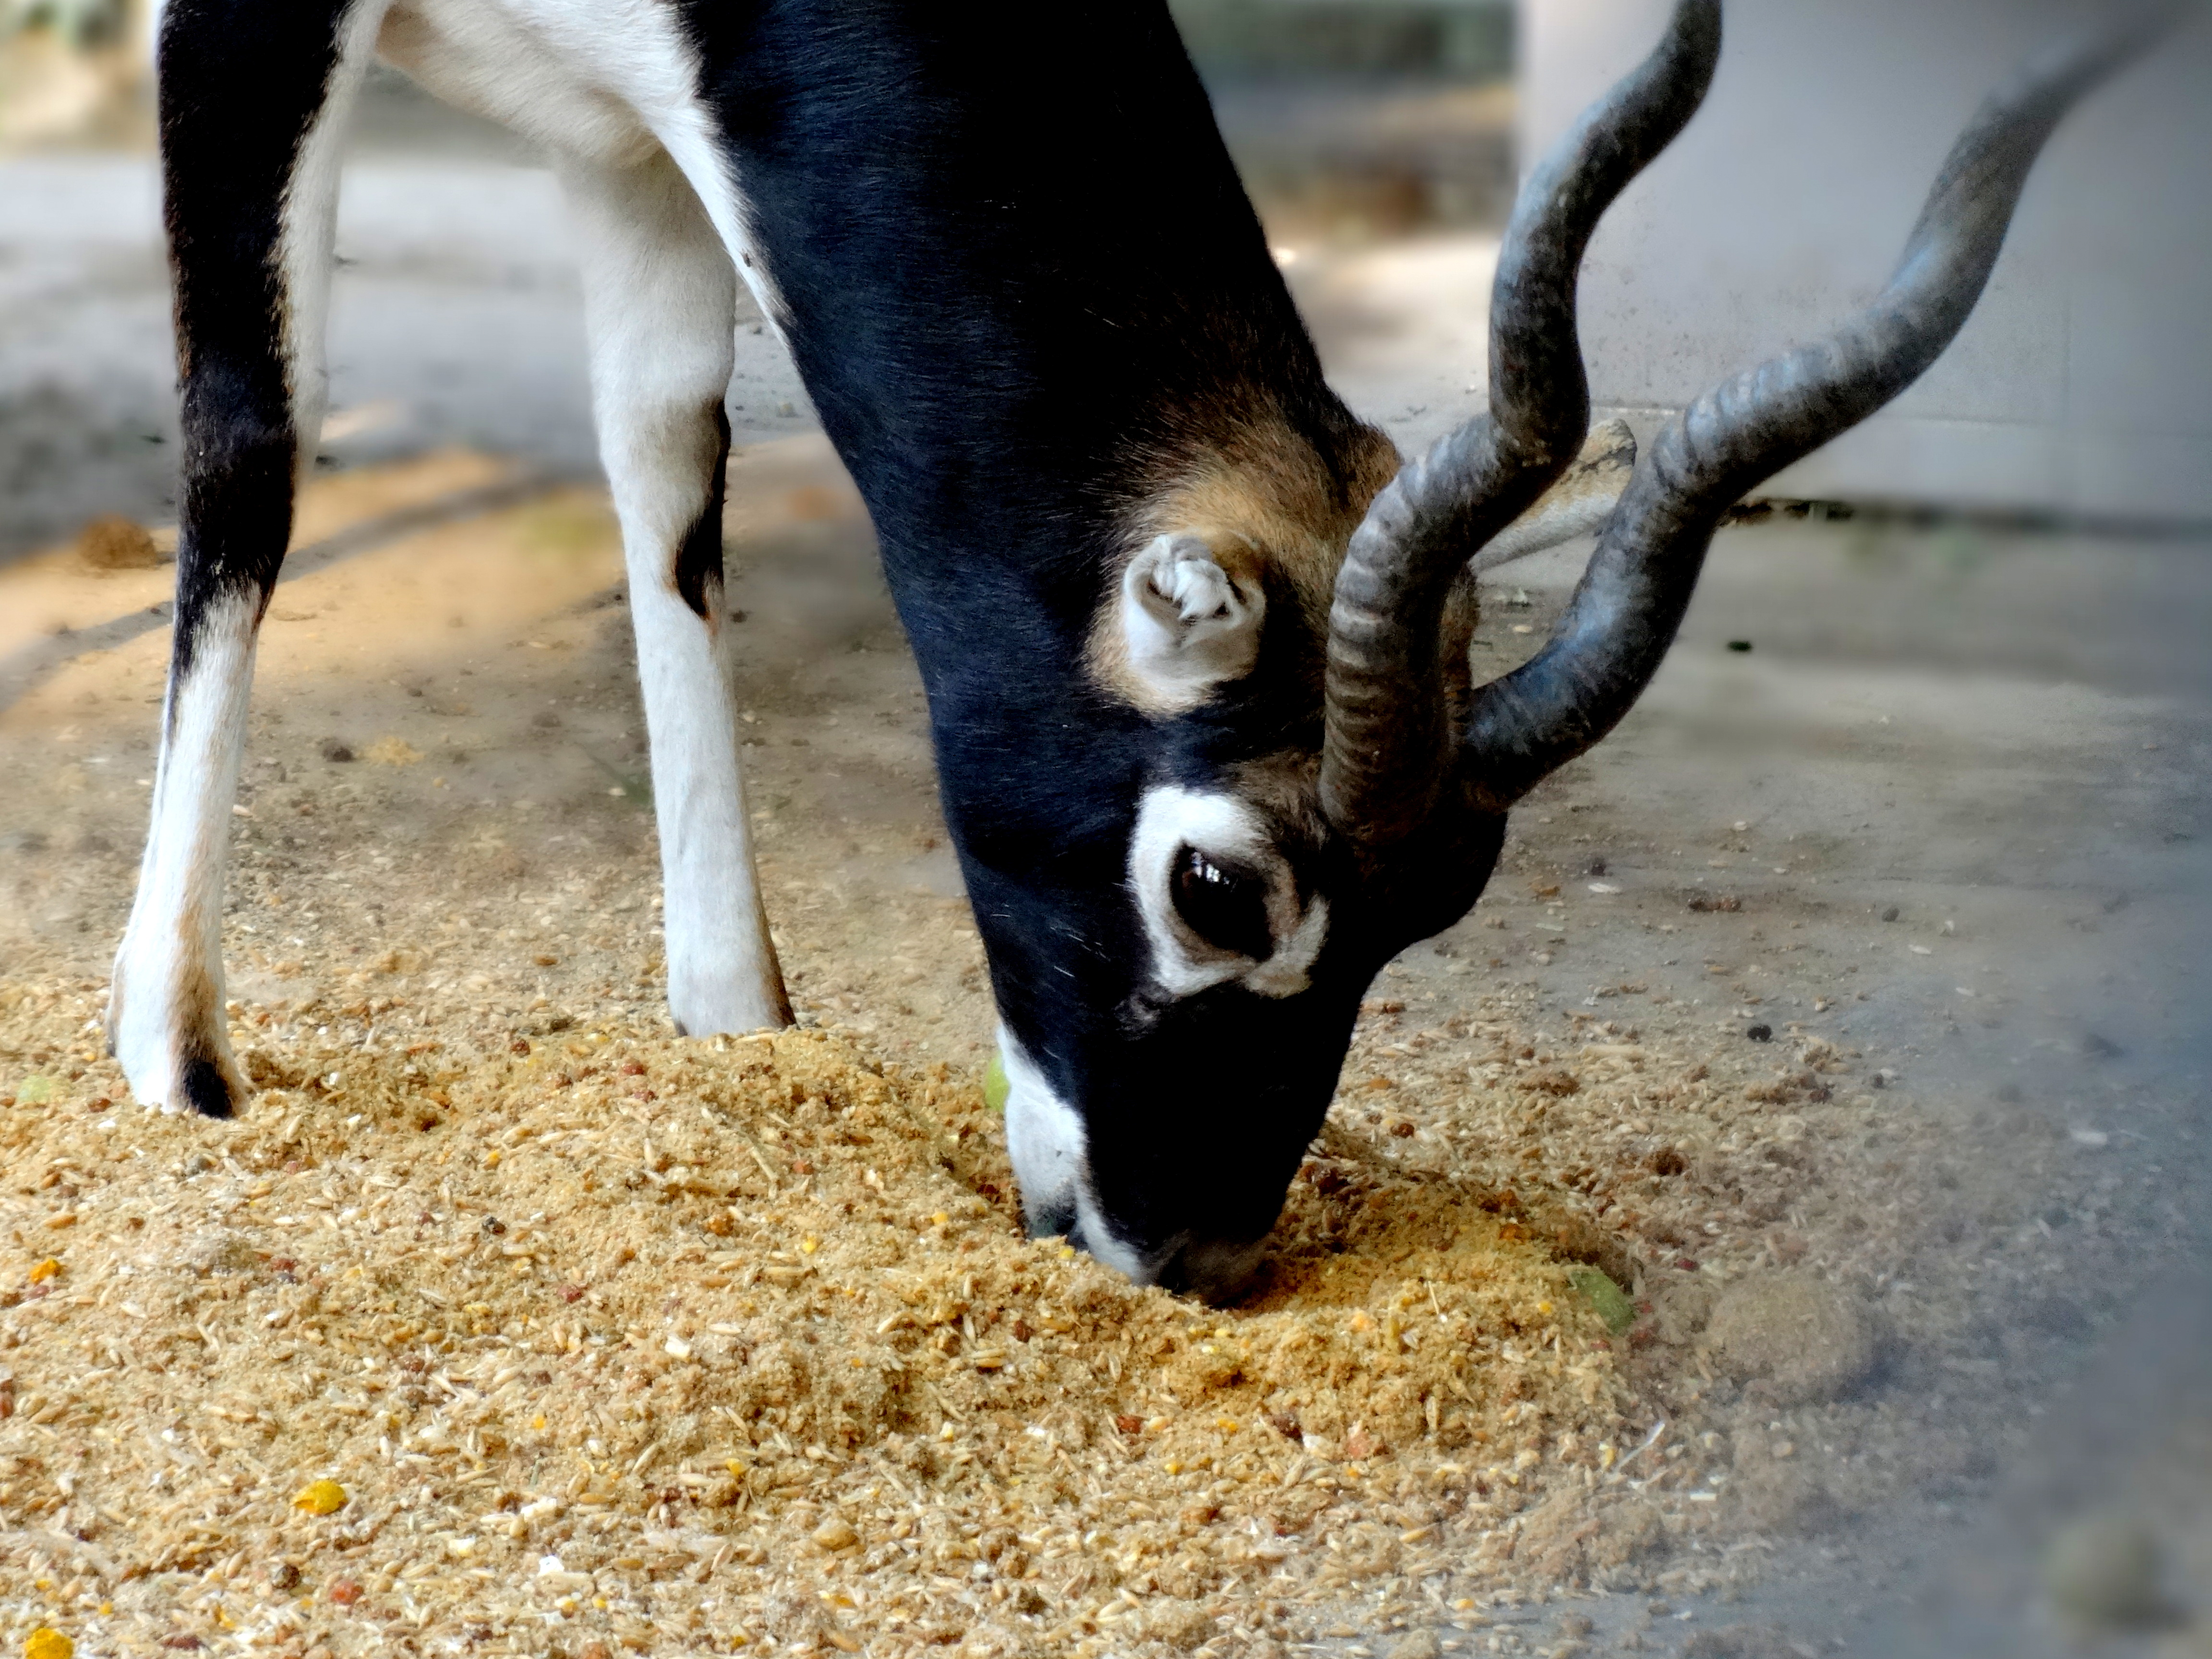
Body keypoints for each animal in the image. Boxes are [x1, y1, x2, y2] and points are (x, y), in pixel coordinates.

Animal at [116, 0, 2170, 1298]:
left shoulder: (642, 123)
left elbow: (666, 471)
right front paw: (174, 1066)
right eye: (1217, 885)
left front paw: (732, 1027)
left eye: (1432, 921)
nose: (1192, 1256)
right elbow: (249, 451)